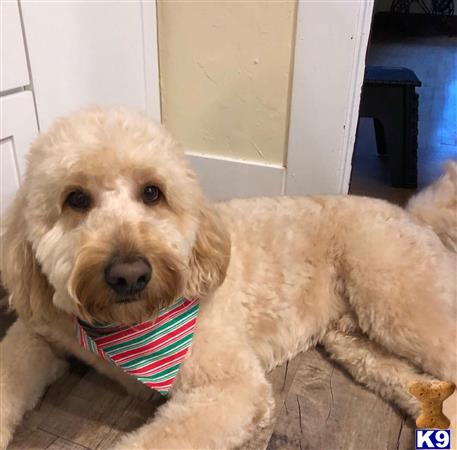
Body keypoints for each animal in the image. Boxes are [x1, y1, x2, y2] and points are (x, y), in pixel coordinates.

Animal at [0, 107, 456, 448]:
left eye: (152, 192)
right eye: (75, 199)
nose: (129, 274)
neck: (126, 326)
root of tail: (413, 215)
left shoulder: (233, 388)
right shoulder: (37, 332)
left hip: (399, 302)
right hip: (357, 341)